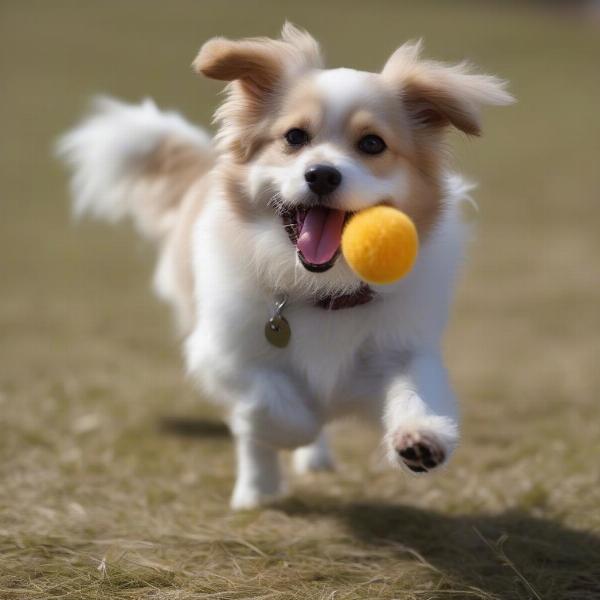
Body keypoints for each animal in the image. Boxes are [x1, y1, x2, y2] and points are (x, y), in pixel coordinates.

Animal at [58, 24, 512, 510]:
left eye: (372, 144)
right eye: (295, 137)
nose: (322, 174)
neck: (325, 290)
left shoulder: (402, 348)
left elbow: (416, 393)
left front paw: (421, 439)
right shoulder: (221, 353)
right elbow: (271, 404)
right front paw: (289, 437)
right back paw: (257, 489)